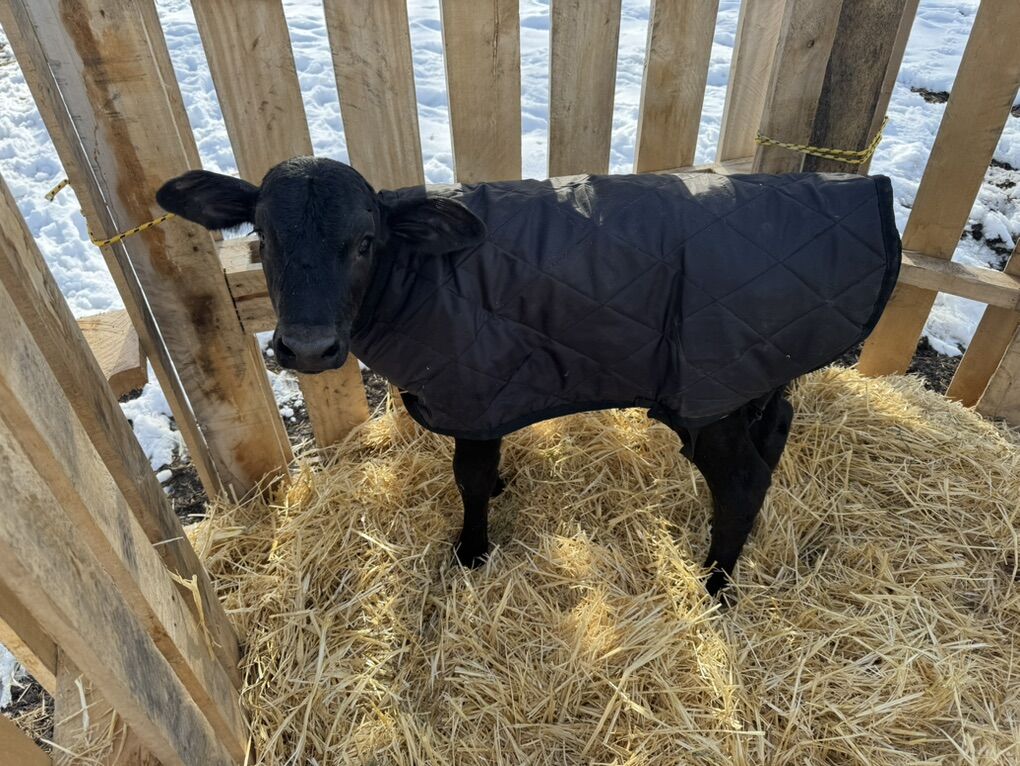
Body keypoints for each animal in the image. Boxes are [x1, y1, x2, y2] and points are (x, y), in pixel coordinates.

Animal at [157, 156, 901, 596]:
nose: (308, 348)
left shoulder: (473, 388)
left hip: (711, 385)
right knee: (775, 432)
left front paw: (471, 551)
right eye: (263, 238)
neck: (421, 276)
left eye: (366, 241)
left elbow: (470, 477)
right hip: (758, 371)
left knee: (743, 479)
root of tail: (867, 190)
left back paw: (715, 584)